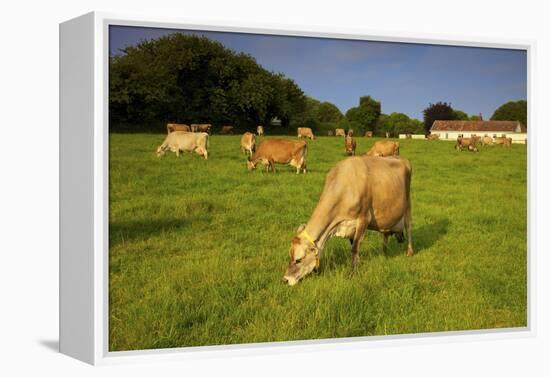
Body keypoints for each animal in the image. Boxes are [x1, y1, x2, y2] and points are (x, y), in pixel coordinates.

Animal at [284, 156, 414, 284]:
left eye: (298, 260)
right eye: (289, 256)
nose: (285, 280)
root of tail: (401, 158)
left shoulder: (364, 218)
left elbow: (355, 247)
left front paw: (352, 273)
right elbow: (354, 246)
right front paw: (359, 264)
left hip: (407, 206)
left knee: (409, 228)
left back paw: (410, 252)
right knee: (385, 234)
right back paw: (383, 253)